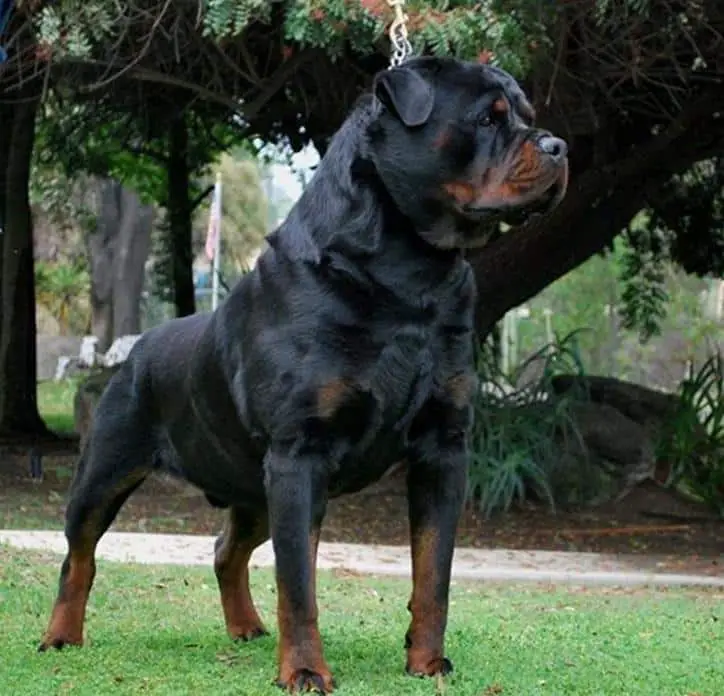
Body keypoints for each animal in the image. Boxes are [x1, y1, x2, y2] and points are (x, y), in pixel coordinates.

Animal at [39, 57, 568, 692]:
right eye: (488, 118)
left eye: (527, 115)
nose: (559, 146)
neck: (410, 277)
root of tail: (137, 347)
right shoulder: (299, 456)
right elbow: (298, 585)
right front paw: (306, 671)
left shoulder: (443, 449)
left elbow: (432, 573)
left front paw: (427, 663)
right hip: (109, 468)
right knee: (79, 554)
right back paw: (60, 636)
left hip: (253, 488)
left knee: (227, 549)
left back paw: (245, 627)